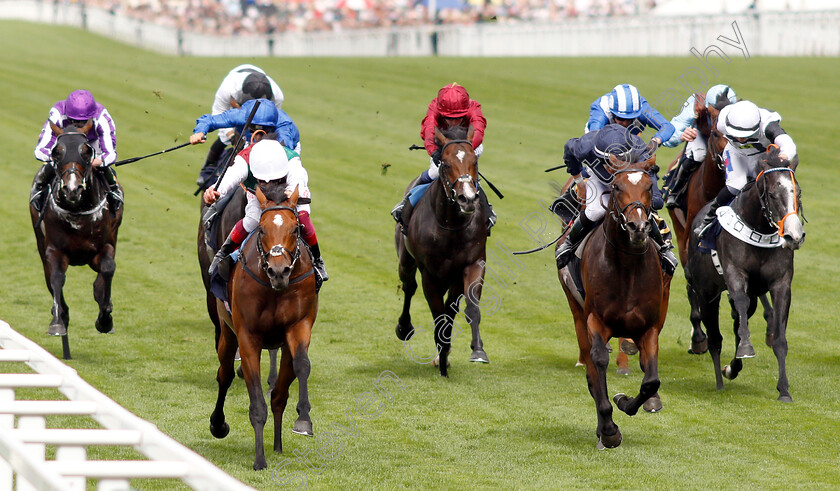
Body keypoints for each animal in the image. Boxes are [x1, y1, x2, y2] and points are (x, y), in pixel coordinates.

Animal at [208, 185, 316, 472]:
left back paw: (277, 444)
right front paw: (259, 459)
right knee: (224, 375)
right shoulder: (248, 337)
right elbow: (256, 402)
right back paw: (218, 424)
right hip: (227, 333)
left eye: (295, 229)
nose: (279, 271)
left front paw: (304, 420)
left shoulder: (299, 326)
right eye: (263, 230)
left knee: (279, 394)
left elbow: (302, 365)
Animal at [398, 126, 488, 376]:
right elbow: (438, 315)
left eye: (475, 161)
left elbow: (466, 308)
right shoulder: (429, 273)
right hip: (405, 260)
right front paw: (443, 358)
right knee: (409, 287)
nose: (467, 198)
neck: (451, 225)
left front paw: (477, 350)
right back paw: (404, 327)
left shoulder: (472, 264)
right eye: (446, 164)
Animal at [560, 158, 672, 450]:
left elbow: (651, 380)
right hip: (576, 312)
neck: (628, 268)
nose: (638, 227)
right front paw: (609, 429)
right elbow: (598, 365)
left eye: (648, 186)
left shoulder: (649, 327)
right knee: (591, 371)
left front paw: (626, 401)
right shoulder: (595, 321)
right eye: (617, 187)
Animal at [684, 148, 804, 402]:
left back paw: (732, 368)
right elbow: (739, 302)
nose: (794, 236)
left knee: (738, 323)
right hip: (707, 293)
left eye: (797, 193)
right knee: (715, 338)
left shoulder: (781, 284)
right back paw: (720, 381)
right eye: (772, 194)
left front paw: (784, 390)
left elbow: (778, 338)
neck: (760, 230)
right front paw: (746, 350)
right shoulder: (734, 273)